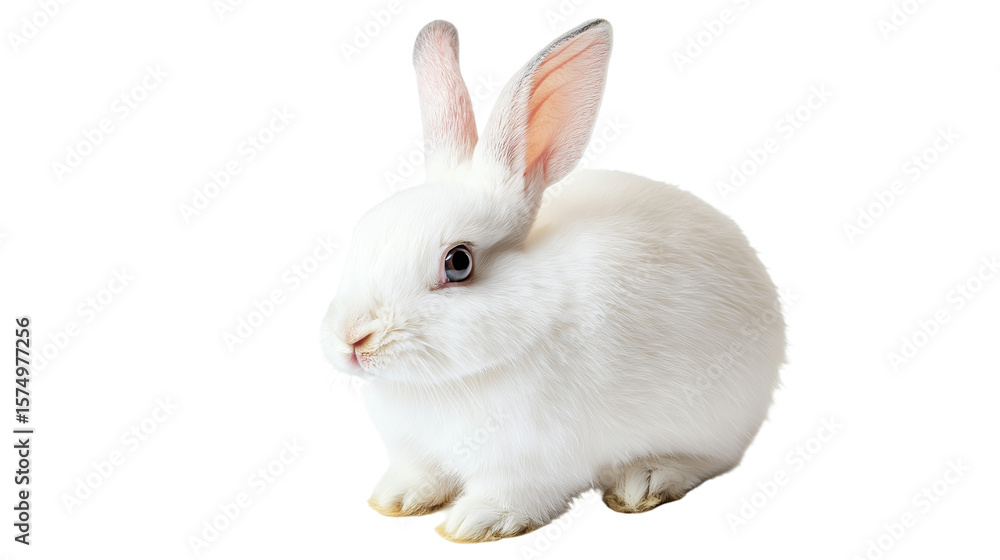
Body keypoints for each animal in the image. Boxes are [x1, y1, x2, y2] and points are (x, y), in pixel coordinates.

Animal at [321, 18, 785, 543]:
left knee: (708, 459)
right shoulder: (414, 450)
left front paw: (474, 522)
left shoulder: (528, 463)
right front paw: (397, 500)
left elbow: (513, 496)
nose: (352, 339)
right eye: (362, 232)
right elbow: (418, 474)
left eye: (458, 263)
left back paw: (645, 481)